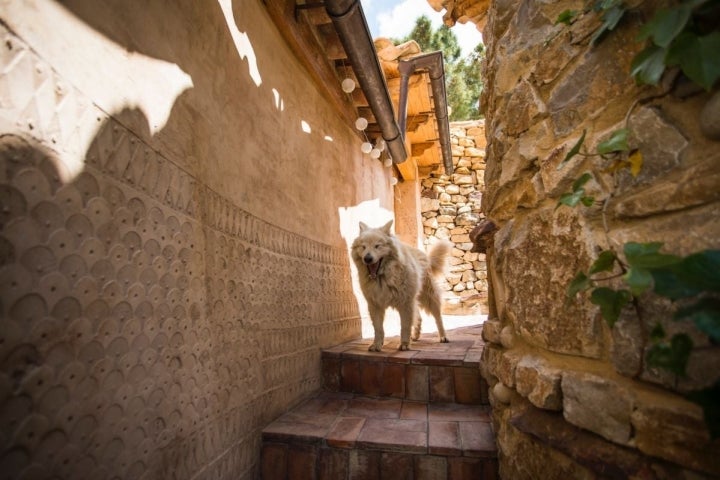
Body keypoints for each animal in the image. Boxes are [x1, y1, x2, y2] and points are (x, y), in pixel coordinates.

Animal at [350, 219, 450, 350]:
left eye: (377, 246)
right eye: (363, 247)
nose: (367, 258)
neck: (383, 278)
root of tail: (424, 255)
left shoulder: (405, 303)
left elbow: (405, 326)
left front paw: (404, 345)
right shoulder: (375, 305)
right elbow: (378, 328)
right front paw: (376, 345)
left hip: (429, 297)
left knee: (438, 318)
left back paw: (443, 337)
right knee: (418, 317)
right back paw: (415, 336)